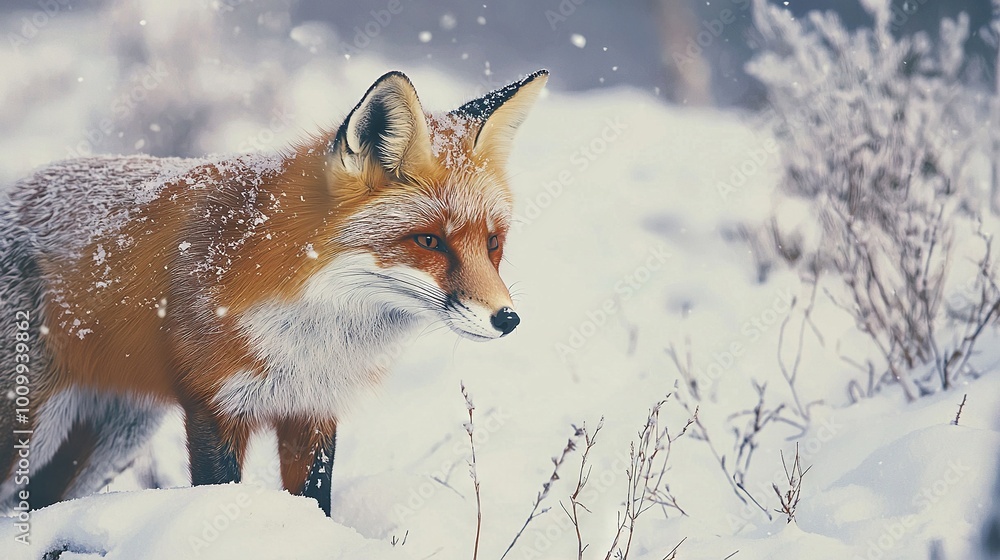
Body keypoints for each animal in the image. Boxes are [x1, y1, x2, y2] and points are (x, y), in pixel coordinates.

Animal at [0, 70, 548, 516]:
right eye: (429, 241)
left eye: (493, 243)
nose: (507, 319)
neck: (313, 331)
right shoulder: (215, 405)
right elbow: (217, 488)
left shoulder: (312, 410)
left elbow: (316, 502)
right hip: (31, 429)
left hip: (114, 437)